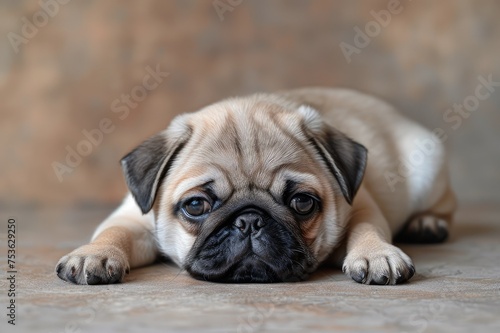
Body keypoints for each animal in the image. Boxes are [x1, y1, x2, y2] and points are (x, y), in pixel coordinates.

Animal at [55, 88, 458, 286]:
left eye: (302, 203)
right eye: (196, 205)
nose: (249, 220)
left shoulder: (361, 205)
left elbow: (367, 228)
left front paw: (376, 255)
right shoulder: (134, 216)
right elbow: (115, 231)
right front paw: (94, 254)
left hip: (429, 164)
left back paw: (427, 224)